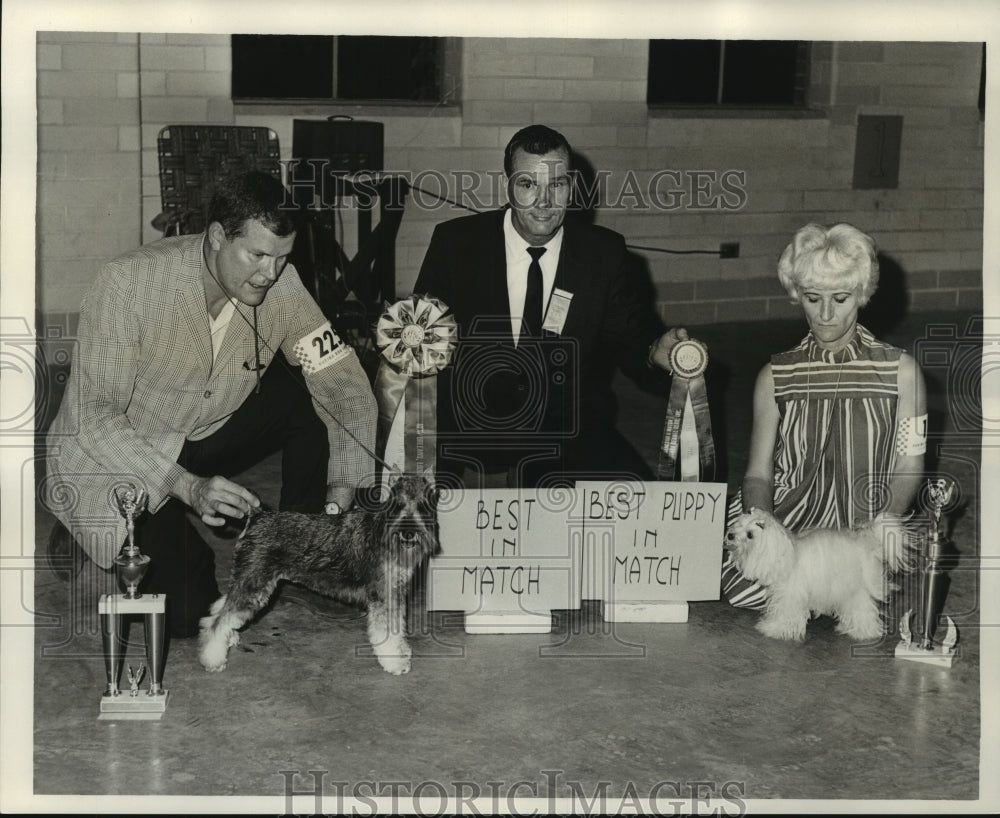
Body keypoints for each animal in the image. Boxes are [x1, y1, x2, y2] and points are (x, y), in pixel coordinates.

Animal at [199, 472, 438, 676]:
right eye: (398, 505)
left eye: (422, 506)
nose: (409, 534)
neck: (383, 530)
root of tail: (257, 515)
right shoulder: (382, 597)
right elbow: (386, 632)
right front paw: (395, 663)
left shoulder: (395, 595)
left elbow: (398, 627)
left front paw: (402, 652)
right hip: (254, 583)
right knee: (218, 621)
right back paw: (213, 659)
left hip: (250, 581)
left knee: (222, 608)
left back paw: (229, 639)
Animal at [728, 506, 916, 640]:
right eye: (738, 525)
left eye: (750, 535)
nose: (730, 535)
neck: (783, 553)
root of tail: (866, 542)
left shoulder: (790, 594)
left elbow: (785, 613)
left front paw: (773, 628)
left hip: (856, 588)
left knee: (863, 608)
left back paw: (864, 632)